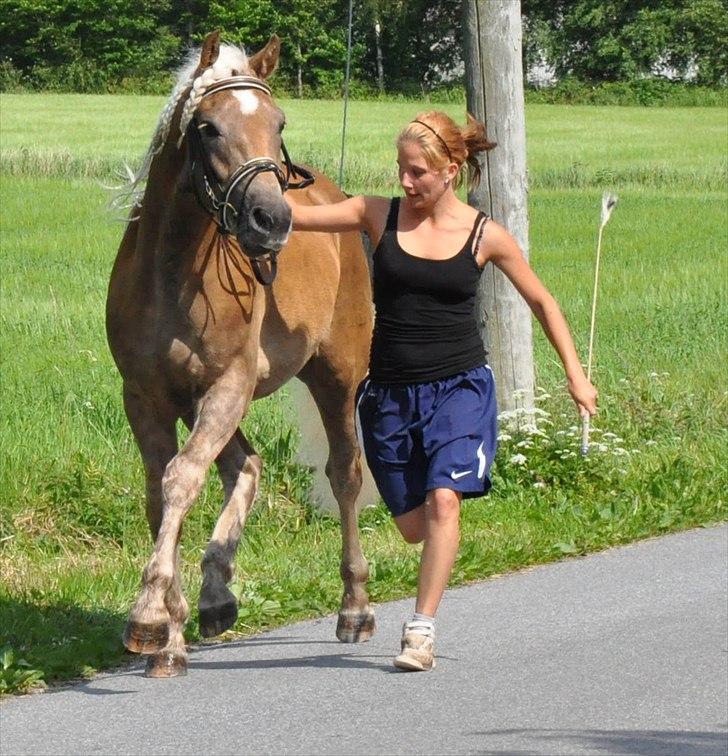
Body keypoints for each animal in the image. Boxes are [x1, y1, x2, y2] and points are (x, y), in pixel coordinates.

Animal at [106, 32, 376, 676]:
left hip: (336, 376)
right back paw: (216, 596)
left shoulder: (227, 387)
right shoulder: (147, 397)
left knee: (345, 474)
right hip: (199, 400)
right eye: (207, 127)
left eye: (279, 124)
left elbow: (182, 480)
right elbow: (160, 495)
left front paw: (148, 617)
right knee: (245, 466)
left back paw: (354, 607)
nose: (271, 220)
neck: (173, 273)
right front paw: (171, 635)